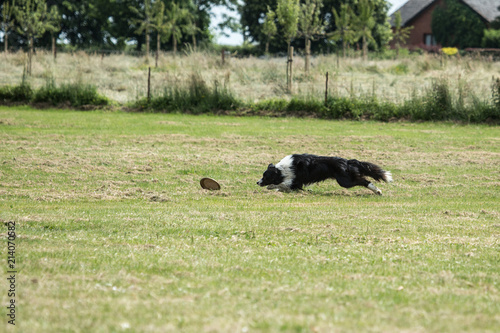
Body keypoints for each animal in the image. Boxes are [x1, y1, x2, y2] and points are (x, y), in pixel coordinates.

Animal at [258, 154, 394, 195]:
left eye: (265, 176)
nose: (257, 182)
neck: (280, 169)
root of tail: (347, 162)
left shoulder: (293, 179)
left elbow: (282, 184)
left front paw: (271, 187)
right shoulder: (297, 182)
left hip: (345, 181)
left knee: (364, 181)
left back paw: (377, 191)